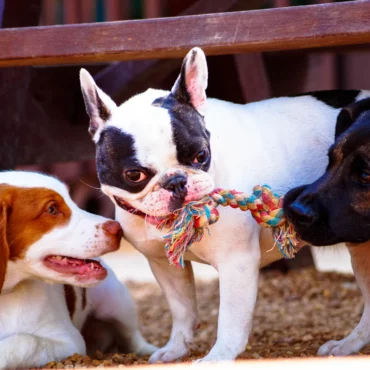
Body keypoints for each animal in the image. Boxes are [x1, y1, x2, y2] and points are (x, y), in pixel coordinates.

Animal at [0, 172, 155, 368]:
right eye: (52, 209)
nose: (118, 229)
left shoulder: (69, 340)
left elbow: (26, 340)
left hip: (118, 305)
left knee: (133, 340)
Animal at [80, 47, 370, 362]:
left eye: (201, 155)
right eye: (134, 175)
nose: (177, 181)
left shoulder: (237, 263)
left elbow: (230, 319)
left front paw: (218, 356)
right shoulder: (164, 266)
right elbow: (182, 308)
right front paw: (176, 348)